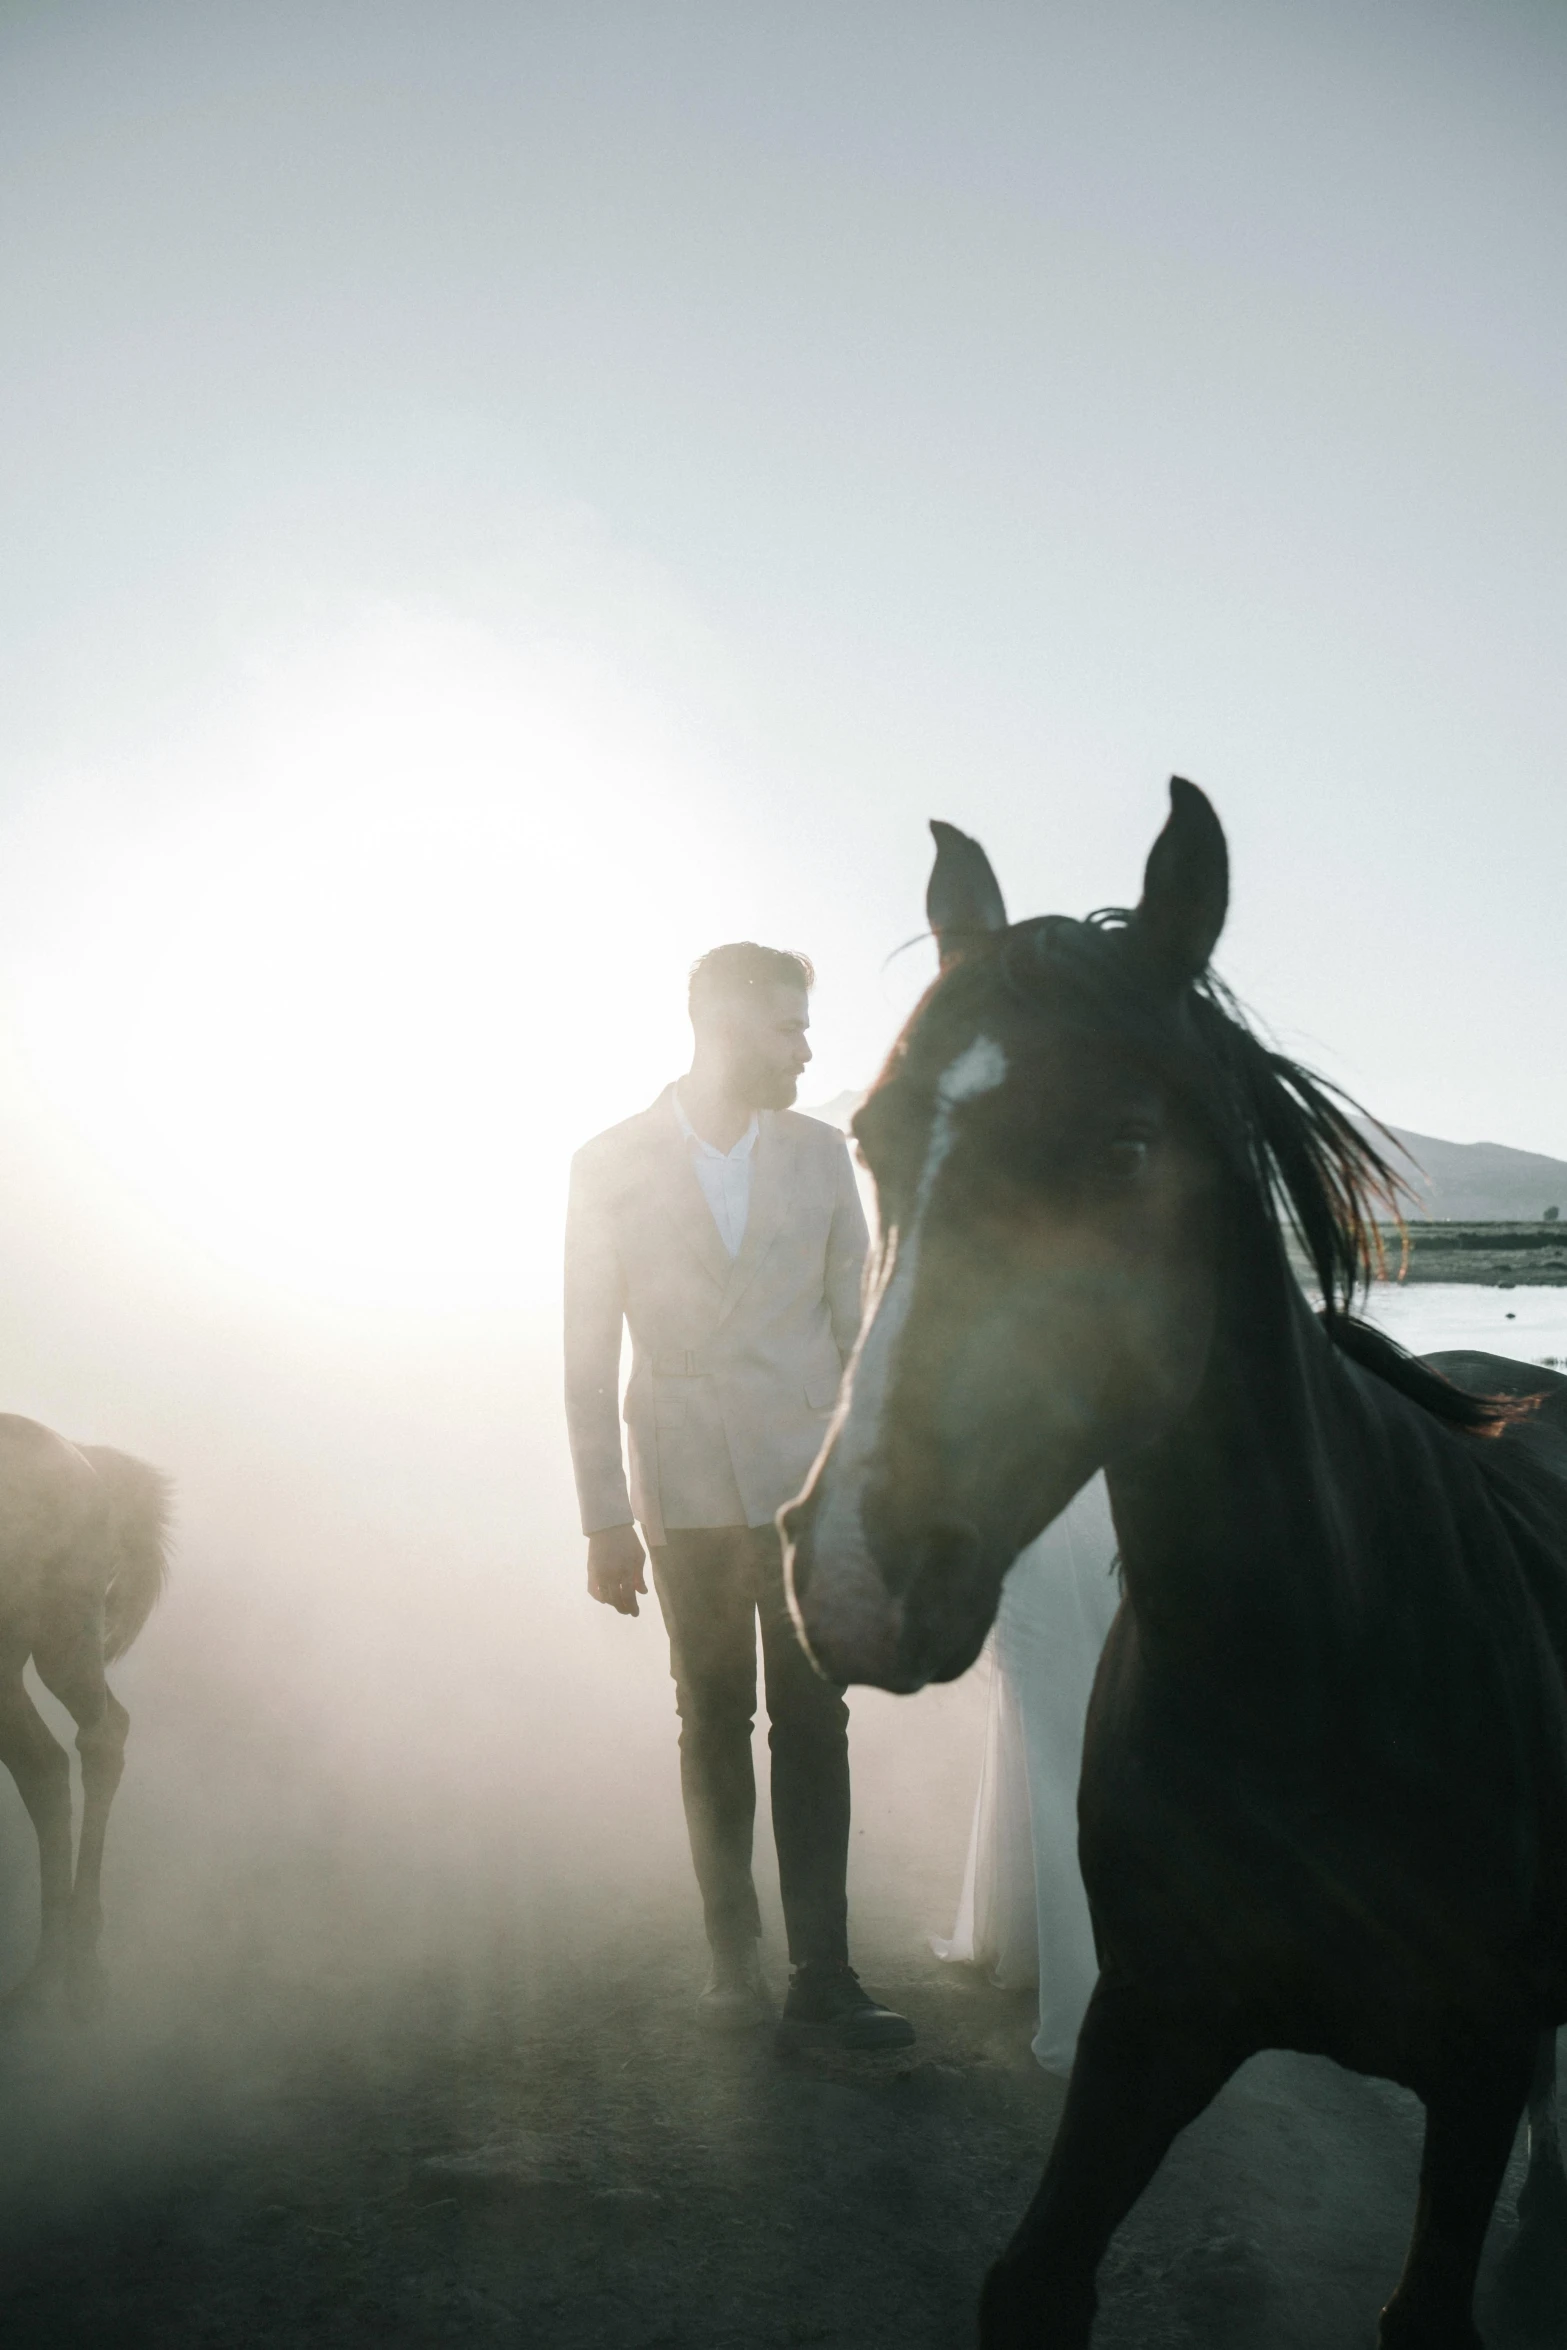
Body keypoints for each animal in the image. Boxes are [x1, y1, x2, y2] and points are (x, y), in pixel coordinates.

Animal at [784, 780, 1567, 2340]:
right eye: (874, 1141)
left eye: (1122, 1149)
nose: (847, 1573)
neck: (1320, 1668)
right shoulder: (1150, 2022)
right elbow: (1030, 2277)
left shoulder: (1476, 2070)